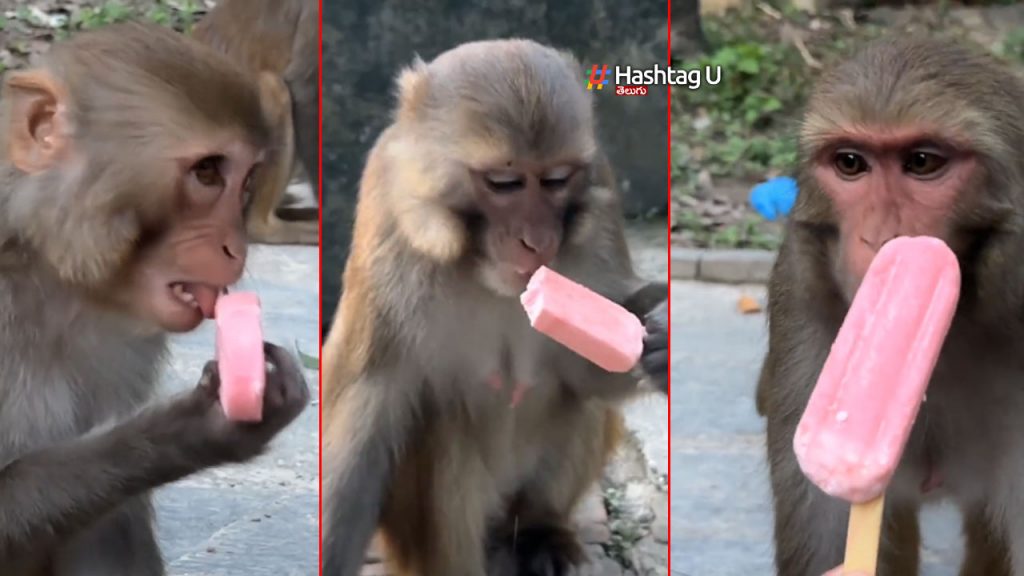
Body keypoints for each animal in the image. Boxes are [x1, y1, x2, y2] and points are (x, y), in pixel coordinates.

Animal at [319, 40, 667, 573]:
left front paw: (658, 339)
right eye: (505, 183)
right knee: (444, 429)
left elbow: (583, 370)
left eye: (556, 179)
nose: (537, 239)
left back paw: (541, 530)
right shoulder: (388, 216)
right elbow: (369, 399)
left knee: (575, 403)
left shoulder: (602, 196)